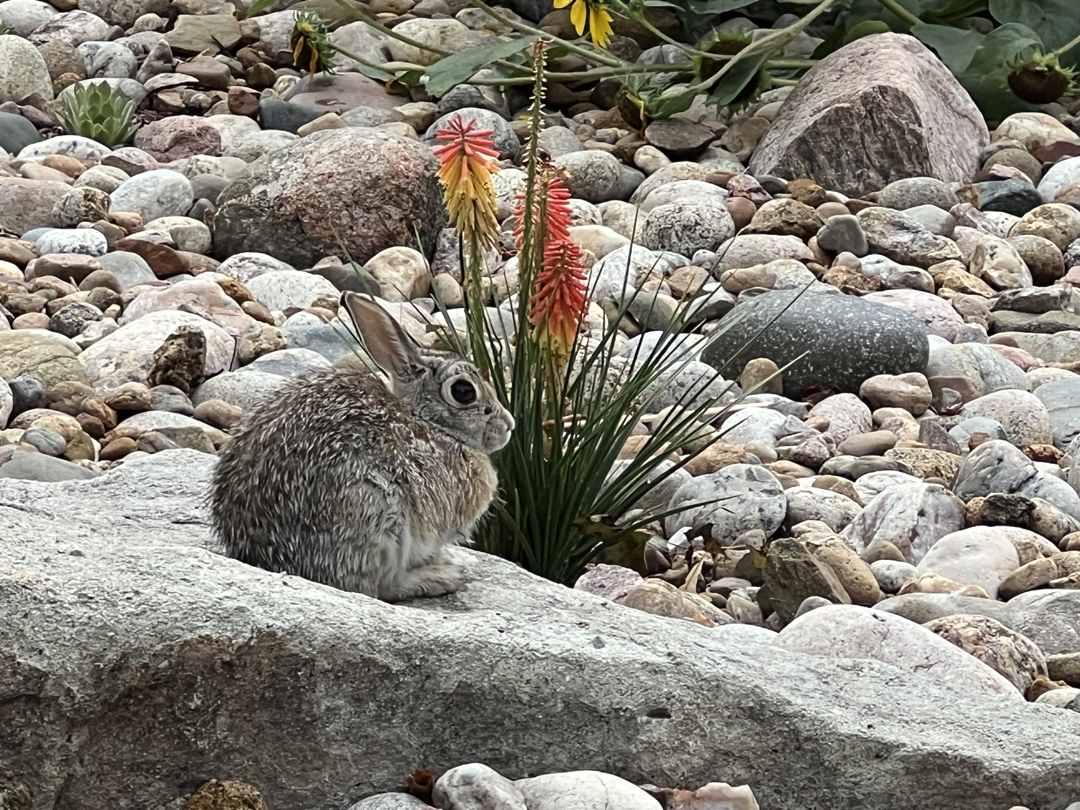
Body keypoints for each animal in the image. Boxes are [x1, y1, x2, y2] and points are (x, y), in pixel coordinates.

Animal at [212, 291, 516, 604]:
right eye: (464, 391)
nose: (509, 425)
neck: (427, 421)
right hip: (377, 514)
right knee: (374, 587)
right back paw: (441, 576)